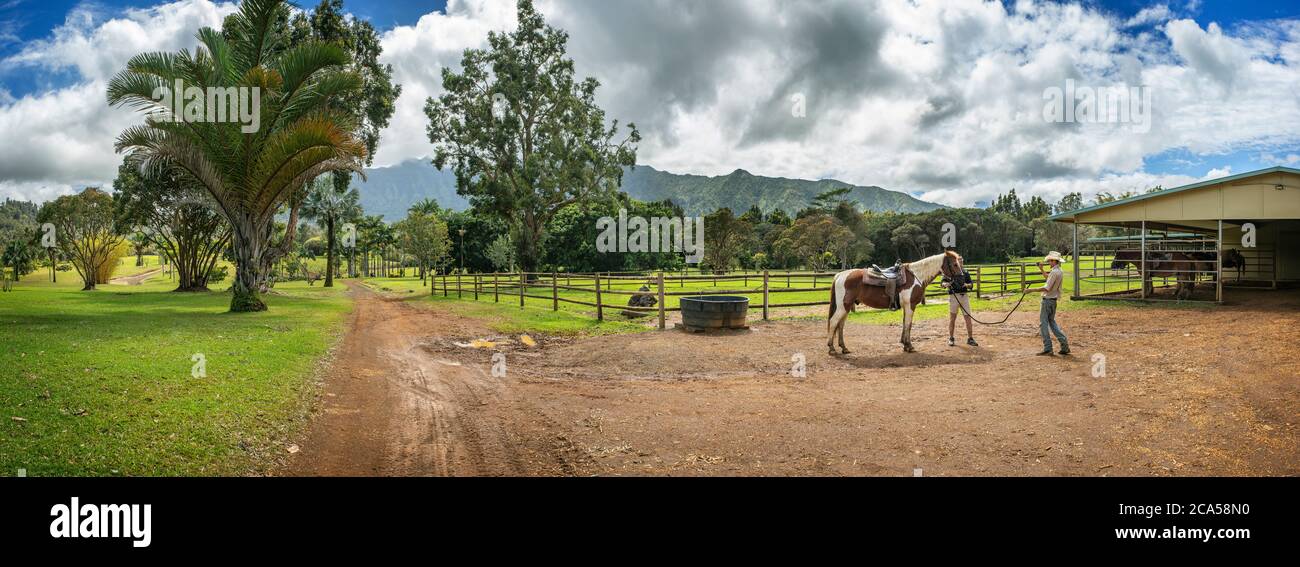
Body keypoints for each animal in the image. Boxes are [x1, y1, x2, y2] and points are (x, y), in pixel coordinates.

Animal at [821, 249, 967, 351]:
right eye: (955, 264)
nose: (961, 281)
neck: (916, 275)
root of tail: (840, 275)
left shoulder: (906, 306)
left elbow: (905, 324)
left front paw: (904, 344)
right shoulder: (910, 305)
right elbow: (908, 324)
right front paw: (909, 346)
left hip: (846, 307)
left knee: (840, 325)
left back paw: (844, 348)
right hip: (843, 307)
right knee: (833, 322)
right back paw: (831, 348)